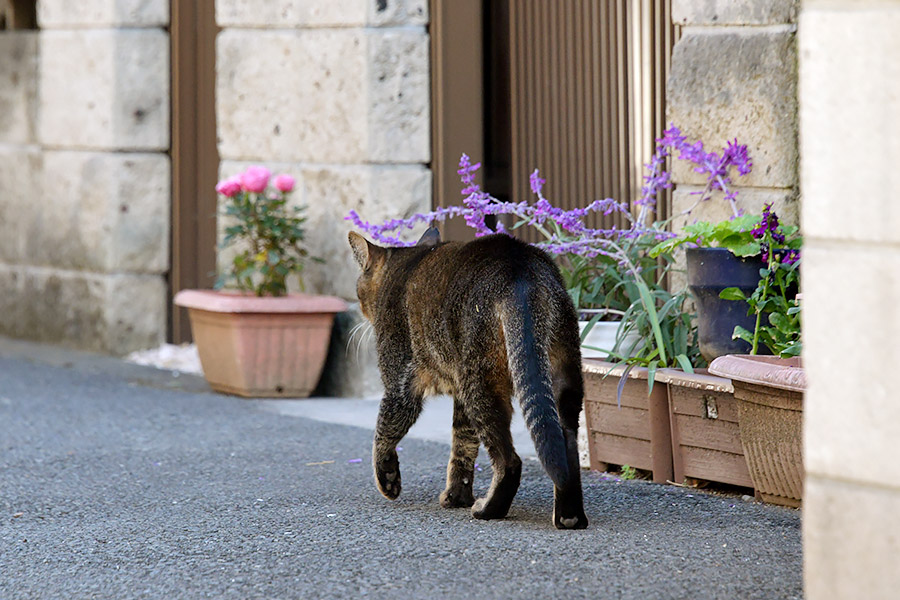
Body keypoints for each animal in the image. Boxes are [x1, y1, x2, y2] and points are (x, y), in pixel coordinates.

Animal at [348, 227, 588, 528]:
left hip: (482, 385)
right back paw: (569, 516)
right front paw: (456, 496)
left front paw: (388, 480)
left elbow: (383, 434)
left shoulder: (399, 386)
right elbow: (462, 446)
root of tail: (520, 267)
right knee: (565, 447)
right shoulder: (459, 395)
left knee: (510, 461)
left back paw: (488, 510)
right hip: (562, 376)